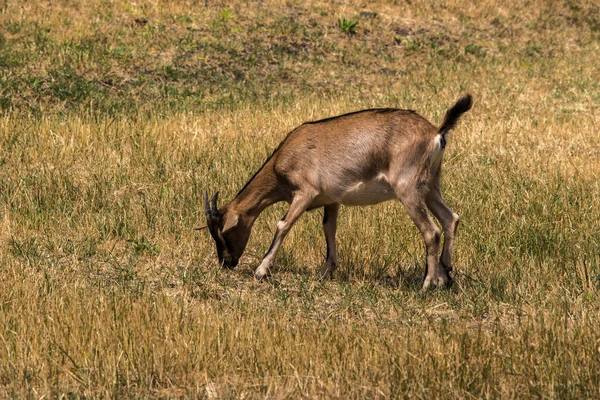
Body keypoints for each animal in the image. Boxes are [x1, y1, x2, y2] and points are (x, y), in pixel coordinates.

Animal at [199, 95, 472, 290]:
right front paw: (326, 271)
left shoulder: (305, 193)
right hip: (430, 186)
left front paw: (261, 270)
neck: (285, 157)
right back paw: (445, 275)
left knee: (431, 231)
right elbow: (329, 228)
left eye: (223, 232)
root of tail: (436, 132)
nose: (226, 262)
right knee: (450, 218)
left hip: (408, 189)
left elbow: (283, 225)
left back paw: (427, 284)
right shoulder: (331, 200)